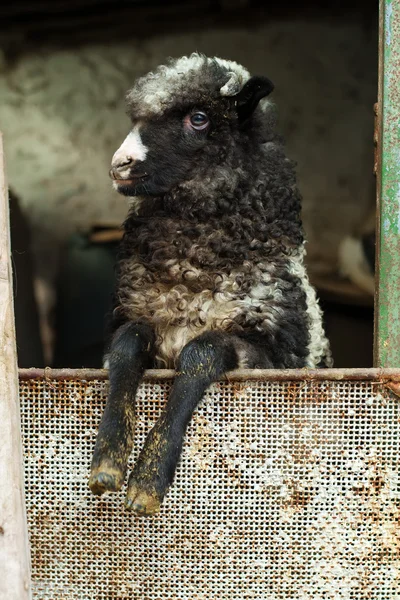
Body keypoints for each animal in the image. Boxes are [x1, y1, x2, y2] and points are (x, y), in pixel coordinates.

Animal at [89, 54, 332, 516]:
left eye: (198, 119)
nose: (120, 164)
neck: (194, 271)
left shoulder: (269, 351)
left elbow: (201, 353)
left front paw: (148, 479)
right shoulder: (135, 316)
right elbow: (126, 346)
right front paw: (109, 460)